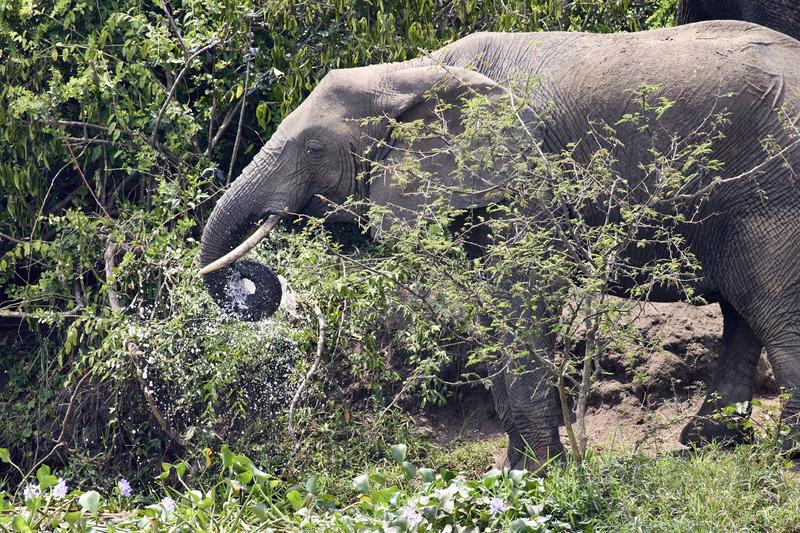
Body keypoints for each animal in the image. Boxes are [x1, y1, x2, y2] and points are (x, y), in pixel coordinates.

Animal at [198, 20, 800, 468]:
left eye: (315, 148)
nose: (253, 278)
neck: (416, 70)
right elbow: (492, 307)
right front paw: (517, 469)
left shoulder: (525, 170)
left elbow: (522, 296)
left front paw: (535, 474)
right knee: (743, 308)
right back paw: (706, 442)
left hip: (772, 186)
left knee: (770, 306)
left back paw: (784, 453)